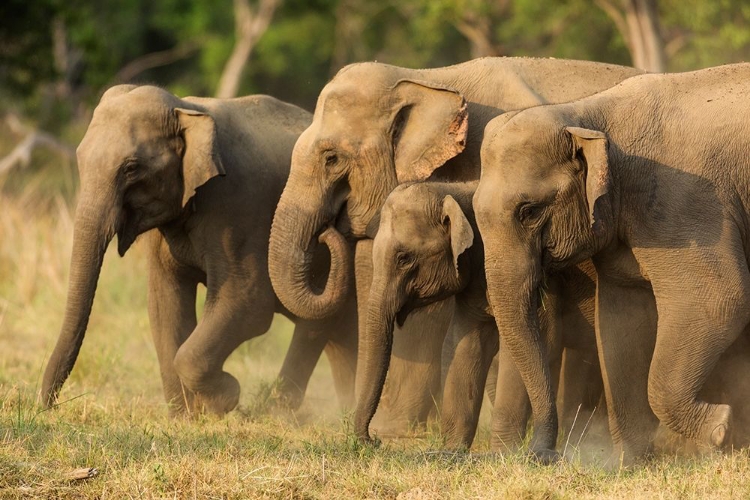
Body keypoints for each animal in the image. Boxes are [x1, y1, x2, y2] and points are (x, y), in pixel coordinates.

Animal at [40, 85, 358, 414]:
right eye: (80, 159)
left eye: (131, 168)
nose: (49, 406)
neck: (185, 109)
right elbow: (164, 303)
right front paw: (186, 416)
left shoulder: (240, 206)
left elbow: (248, 302)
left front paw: (225, 397)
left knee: (315, 325)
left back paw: (280, 411)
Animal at [356, 179, 604, 450]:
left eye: (404, 258)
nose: (374, 441)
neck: (455, 191)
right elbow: (464, 344)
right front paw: (451, 451)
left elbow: (529, 345)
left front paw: (502, 452)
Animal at [476, 62, 750, 464]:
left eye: (529, 211)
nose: (545, 455)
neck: (586, 115)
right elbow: (621, 317)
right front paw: (629, 463)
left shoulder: (689, 205)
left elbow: (718, 300)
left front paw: (719, 429)